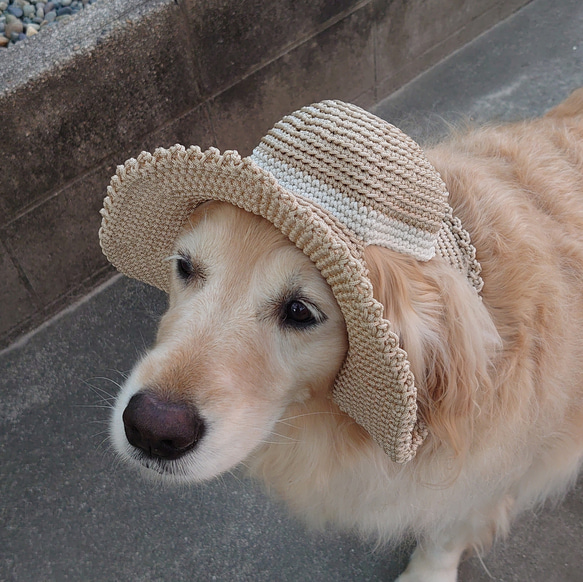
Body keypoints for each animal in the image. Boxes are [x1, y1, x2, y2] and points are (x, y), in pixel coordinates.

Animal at [108, 89, 583, 580]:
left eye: (300, 311)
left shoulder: (489, 475)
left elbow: (447, 531)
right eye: (184, 266)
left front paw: (427, 573)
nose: (150, 428)